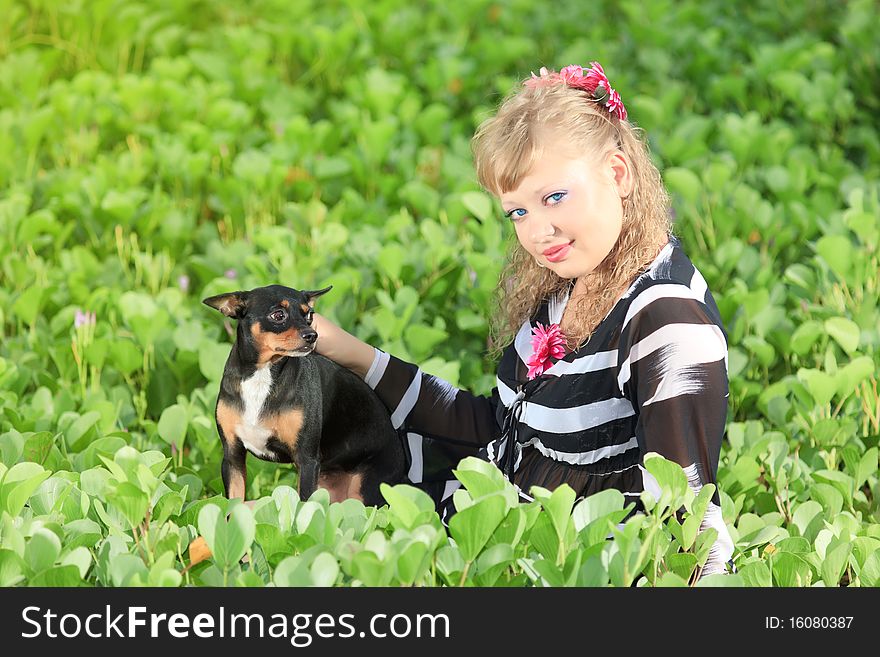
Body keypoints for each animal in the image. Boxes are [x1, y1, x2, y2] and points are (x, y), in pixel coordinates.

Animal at [201, 284, 404, 504]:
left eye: (309, 315)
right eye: (278, 315)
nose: (312, 335)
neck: (262, 376)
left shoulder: (307, 461)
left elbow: (305, 506)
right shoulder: (232, 458)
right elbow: (232, 505)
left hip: (366, 492)